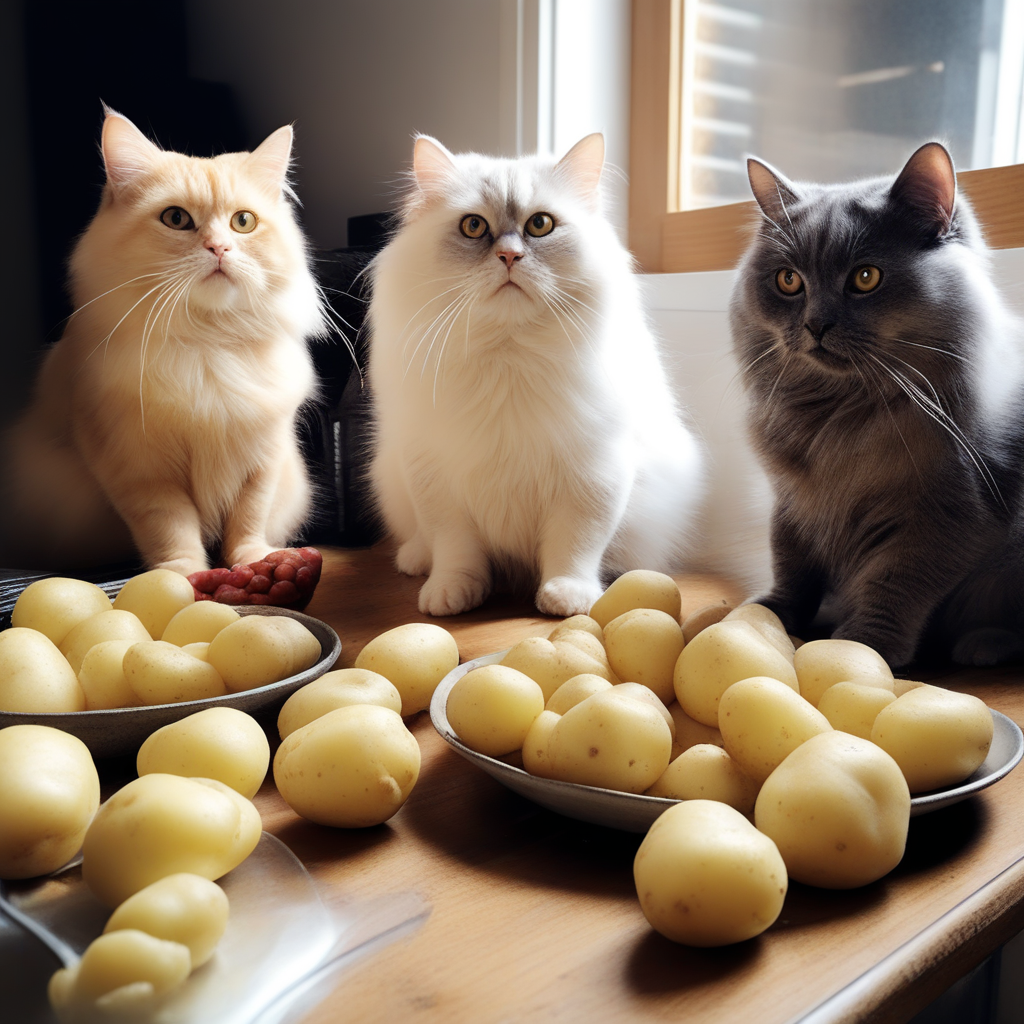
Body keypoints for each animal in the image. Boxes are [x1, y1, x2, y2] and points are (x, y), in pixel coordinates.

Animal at [3, 114, 323, 577]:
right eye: (176, 219)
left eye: (243, 222)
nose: (219, 248)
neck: (208, 345)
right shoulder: (140, 469)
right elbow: (171, 530)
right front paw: (185, 576)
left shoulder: (263, 457)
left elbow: (248, 520)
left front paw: (254, 562)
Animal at [366, 134, 704, 614]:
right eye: (473, 227)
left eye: (540, 225)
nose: (510, 256)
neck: (509, 358)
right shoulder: (433, 476)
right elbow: (455, 550)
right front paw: (450, 594)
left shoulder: (593, 474)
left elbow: (574, 545)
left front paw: (568, 597)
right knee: (424, 541)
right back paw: (415, 561)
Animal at [729, 146, 1024, 671]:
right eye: (789, 281)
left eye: (865, 278)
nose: (815, 325)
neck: (839, 416)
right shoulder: (794, 503)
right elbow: (791, 566)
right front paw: (768, 613)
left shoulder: (946, 518)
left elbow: (894, 585)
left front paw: (862, 645)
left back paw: (983, 645)